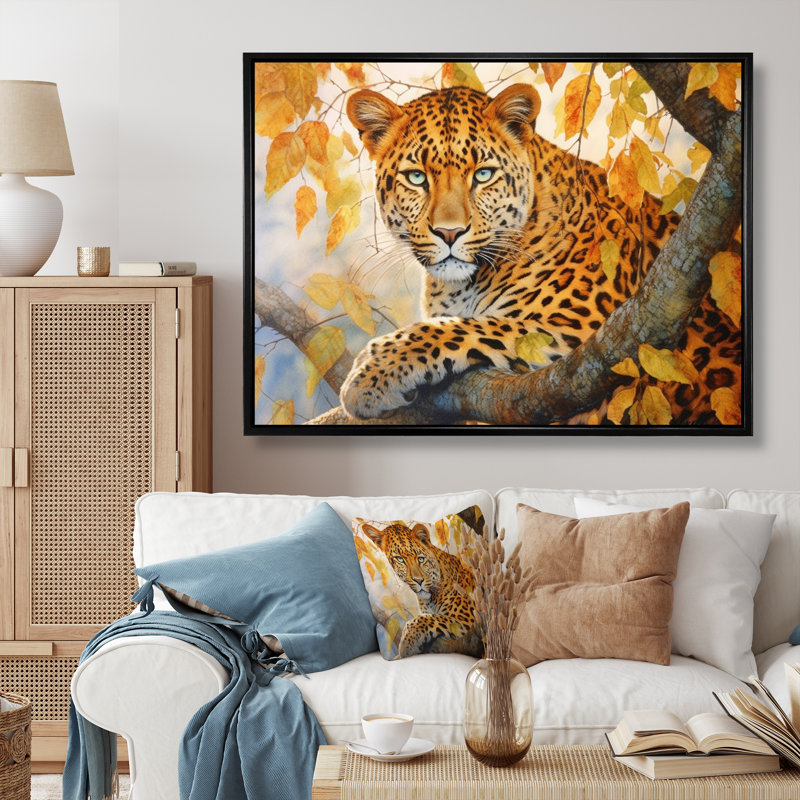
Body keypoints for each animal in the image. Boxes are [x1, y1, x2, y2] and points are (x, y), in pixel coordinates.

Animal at [340, 81, 740, 425]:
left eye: (483, 175)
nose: (449, 232)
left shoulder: (586, 332)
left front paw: (369, 374)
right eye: (417, 178)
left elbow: (465, 327)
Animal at [361, 521, 483, 658]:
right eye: (400, 559)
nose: (419, 581)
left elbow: (426, 619)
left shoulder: (465, 618)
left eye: (420, 559)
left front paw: (406, 644)